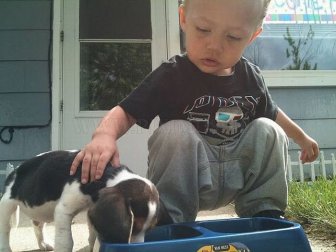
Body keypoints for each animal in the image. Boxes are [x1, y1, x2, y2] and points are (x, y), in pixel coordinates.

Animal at [0, 151, 159, 251]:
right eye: (135, 227)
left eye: (149, 229)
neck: (107, 175)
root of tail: (14, 170)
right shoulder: (64, 211)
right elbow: (66, 242)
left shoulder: (93, 209)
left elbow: (93, 237)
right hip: (7, 204)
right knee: (5, 230)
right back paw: (6, 248)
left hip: (40, 209)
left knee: (37, 223)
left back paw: (44, 244)